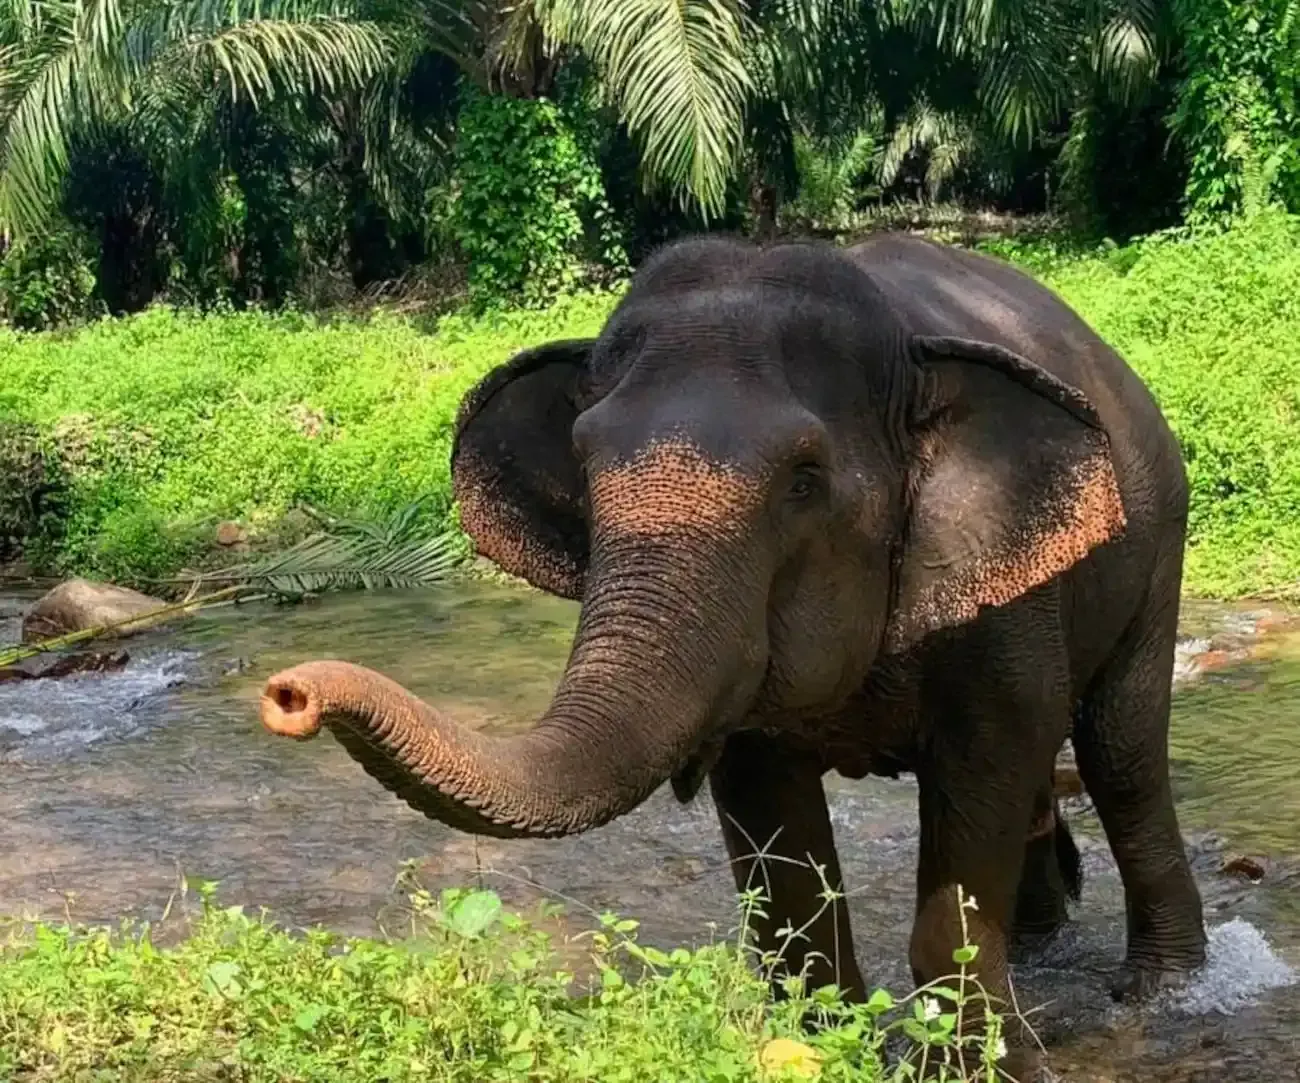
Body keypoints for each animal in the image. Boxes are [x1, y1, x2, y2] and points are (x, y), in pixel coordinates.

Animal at [259, 233, 1207, 1076]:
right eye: (583, 460)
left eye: (804, 480)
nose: (288, 694)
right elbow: (773, 828)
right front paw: (833, 1051)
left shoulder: (1002, 600)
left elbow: (985, 772)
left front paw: (979, 1068)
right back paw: (1044, 943)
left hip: (1161, 536)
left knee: (1121, 758)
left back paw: (1163, 991)